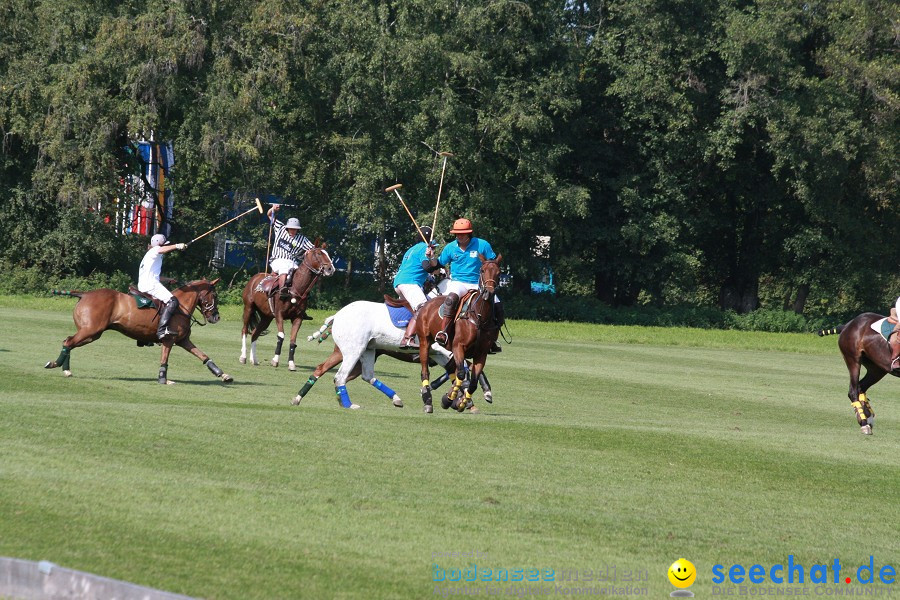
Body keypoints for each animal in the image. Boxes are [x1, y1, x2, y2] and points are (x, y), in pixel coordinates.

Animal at [44, 278, 232, 384]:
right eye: (215, 295)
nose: (216, 317)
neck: (181, 307)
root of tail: (84, 294)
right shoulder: (169, 339)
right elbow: (164, 359)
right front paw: (163, 379)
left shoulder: (182, 340)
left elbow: (203, 356)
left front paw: (223, 375)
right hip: (90, 330)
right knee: (68, 341)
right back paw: (59, 366)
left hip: (92, 333)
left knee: (68, 341)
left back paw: (64, 368)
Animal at [290, 300, 488, 412]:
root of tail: (338, 315)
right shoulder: (444, 351)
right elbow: (465, 369)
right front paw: (468, 398)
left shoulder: (439, 354)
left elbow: (459, 371)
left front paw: (458, 399)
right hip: (353, 350)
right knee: (340, 376)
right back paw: (348, 404)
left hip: (365, 351)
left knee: (343, 372)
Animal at [416, 255, 502, 414]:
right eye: (482, 270)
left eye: (499, 273)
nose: (489, 293)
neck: (479, 317)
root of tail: (427, 304)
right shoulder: (458, 346)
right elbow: (461, 374)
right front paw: (449, 398)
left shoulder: (481, 353)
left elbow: (472, 381)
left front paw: (462, 402)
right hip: (425, 341)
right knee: (425, 371)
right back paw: (427, 400)